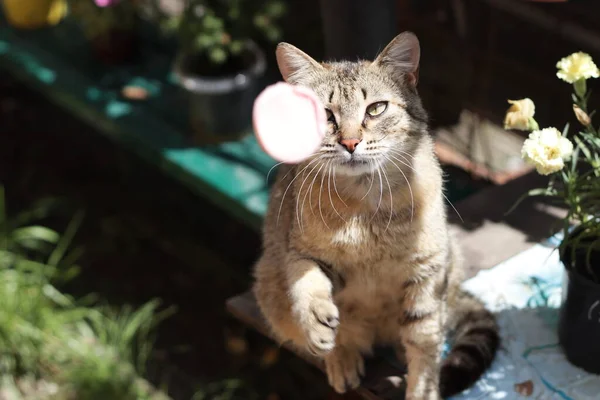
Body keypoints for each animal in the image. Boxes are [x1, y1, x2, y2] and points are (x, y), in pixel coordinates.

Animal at [251, 32, 500, 400]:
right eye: (325, 113)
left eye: (376, 108)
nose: (350, 142)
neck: (364, 209)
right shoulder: (298, 250)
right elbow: (307, 282)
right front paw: (318, 322)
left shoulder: (428, 270)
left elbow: (424, 345)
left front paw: (422, 389)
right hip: (269, 281)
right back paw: (341, 357)